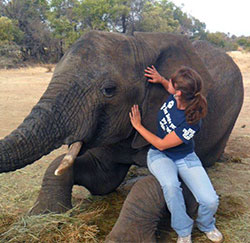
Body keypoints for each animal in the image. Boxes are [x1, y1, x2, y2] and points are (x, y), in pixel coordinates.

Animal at [0, 31, 242, 239]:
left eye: (109, 90)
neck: (142, 45)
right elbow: (102, 178)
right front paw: (41, 216)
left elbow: (163, 186)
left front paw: (121, 239)